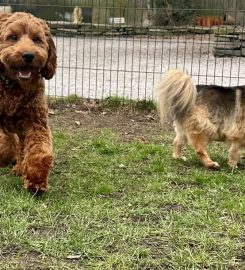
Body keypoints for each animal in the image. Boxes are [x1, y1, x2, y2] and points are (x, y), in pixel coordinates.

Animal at [0, 12, 56, 193]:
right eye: (13, 37)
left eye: (36, 39)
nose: (28, 55)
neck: (14, 86)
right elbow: (7, 143)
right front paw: (4, 156)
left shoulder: (35, 123)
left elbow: (39, 151)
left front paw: (36, 181)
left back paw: (19, 166)